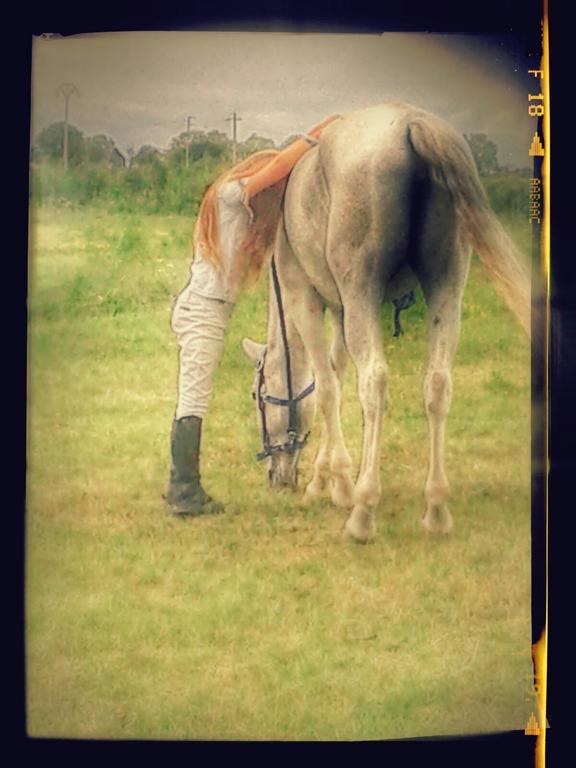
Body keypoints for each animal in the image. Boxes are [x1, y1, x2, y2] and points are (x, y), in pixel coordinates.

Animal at [240, 102, 532, 544]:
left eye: (258, 396)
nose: (276, 478)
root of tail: (412, 123)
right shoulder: (342, 310)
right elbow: (338, 374)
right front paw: (327, 477)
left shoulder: (305, 299)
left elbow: (327, 389)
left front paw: (337, 485)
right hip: (446, 288)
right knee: (437, 384)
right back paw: (436, 509)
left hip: (363, 291)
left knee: (375, 382)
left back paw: (363, 512)